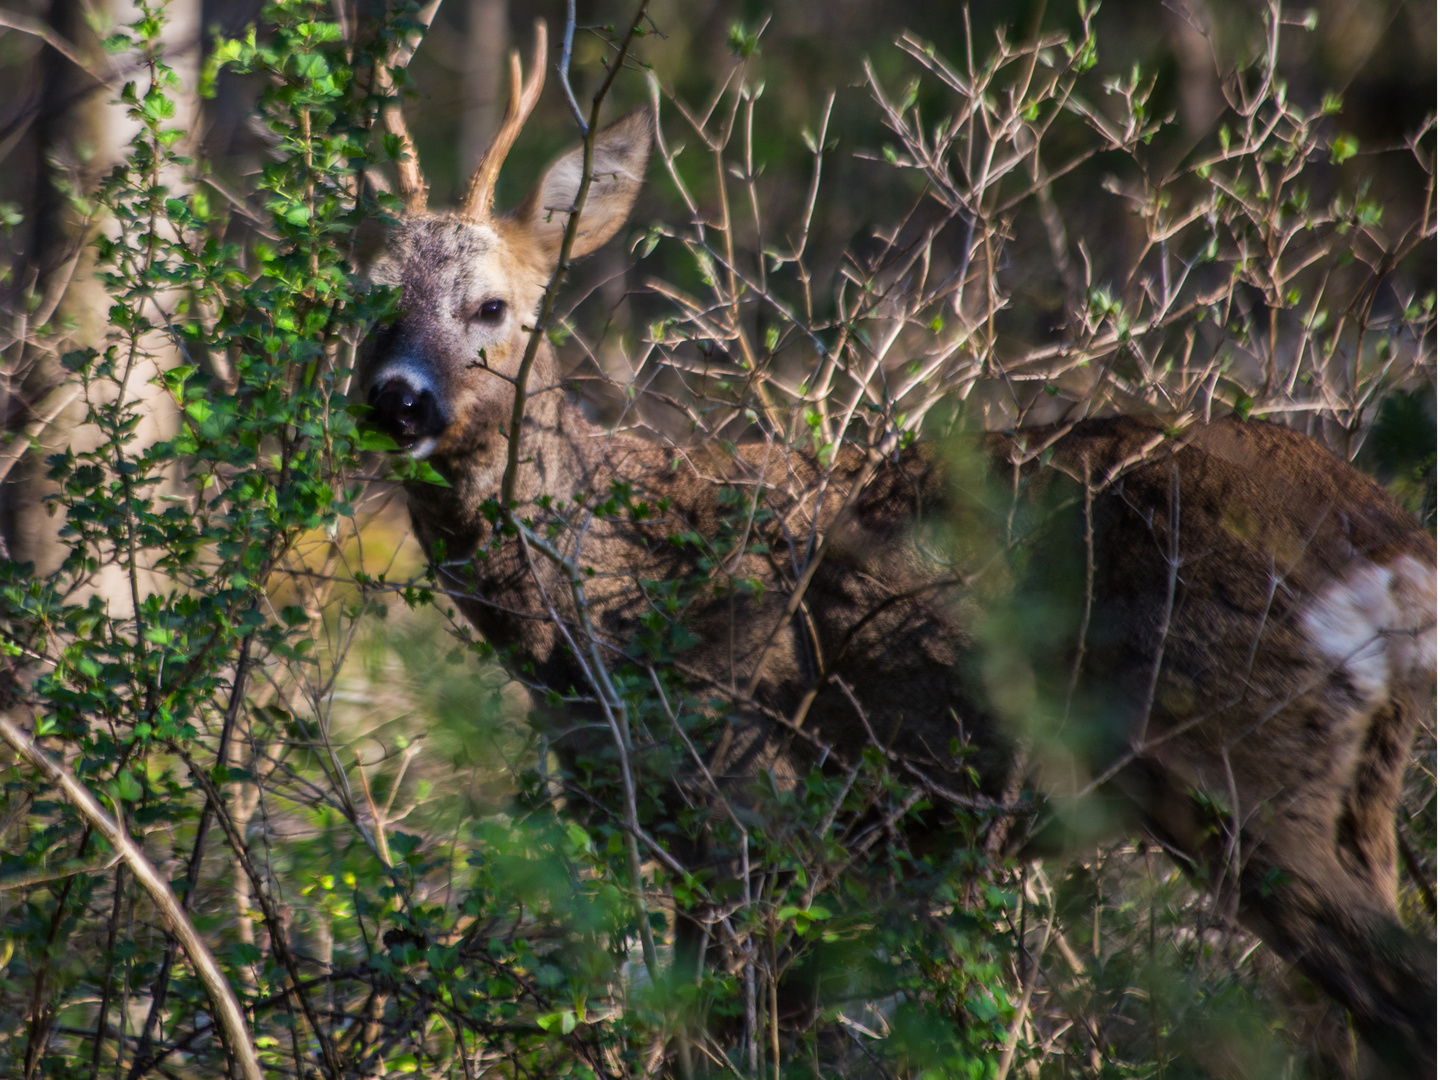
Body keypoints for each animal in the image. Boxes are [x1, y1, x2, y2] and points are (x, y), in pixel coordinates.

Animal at [354, 21, 1434, 1077]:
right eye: (367, 301)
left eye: (492, 305)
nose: (398, 399)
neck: (606, 608)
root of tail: (1390, 544)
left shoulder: (754, 801)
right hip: (1351, 790)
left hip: (1248, 759)